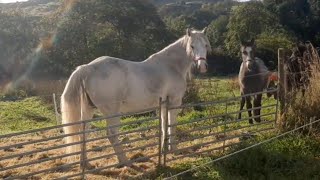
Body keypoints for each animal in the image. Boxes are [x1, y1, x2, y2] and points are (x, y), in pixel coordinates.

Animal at [61, 27, 211, 166]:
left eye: (205, 45)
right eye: (192, 46)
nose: (203, 66)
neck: (171, 66)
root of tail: (87, 68)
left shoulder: (163, 105)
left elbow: (164, 126)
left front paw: (164, 149)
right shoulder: (174, 102)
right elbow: (171, 126)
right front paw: (173, 150)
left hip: (89, 110)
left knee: (83, 133)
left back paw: (85, 163)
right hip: (112, 113)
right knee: (112, 134)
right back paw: (125, 161)